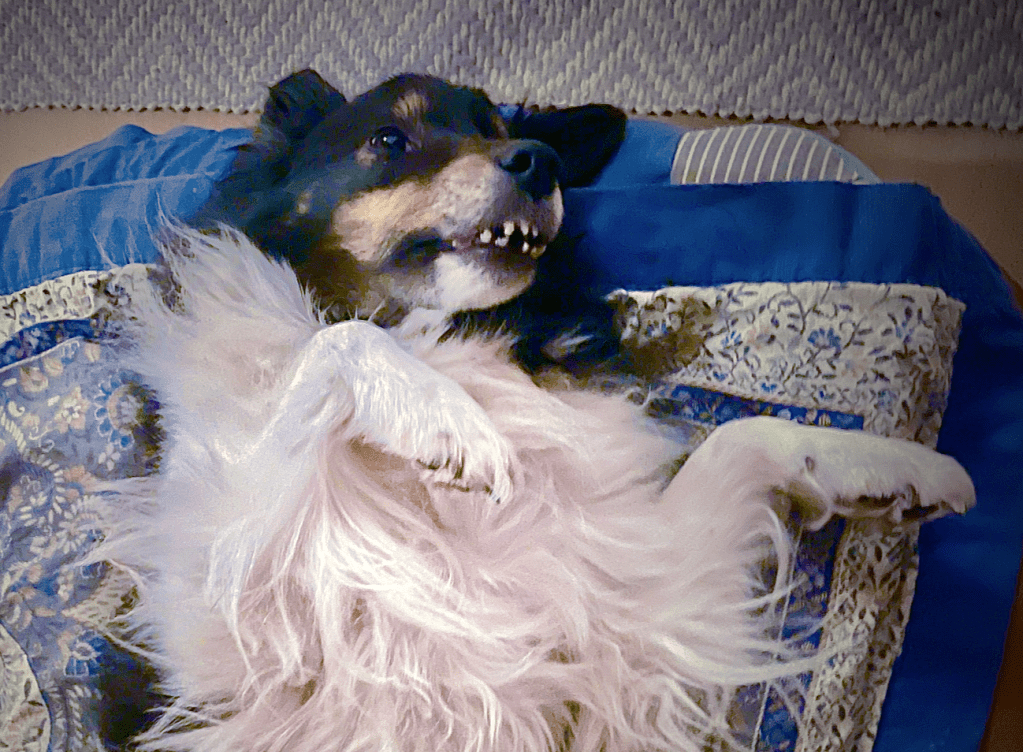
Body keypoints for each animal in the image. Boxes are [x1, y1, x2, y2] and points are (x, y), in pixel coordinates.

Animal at [94, 71, 975, 752]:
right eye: (388, 139)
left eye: (496, 128)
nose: (540, 160)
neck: (439, 332)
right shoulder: (229, 614)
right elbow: (332, 343)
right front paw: (443, 416)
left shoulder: (620, 637)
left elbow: (741, 434)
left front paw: (894, 468)